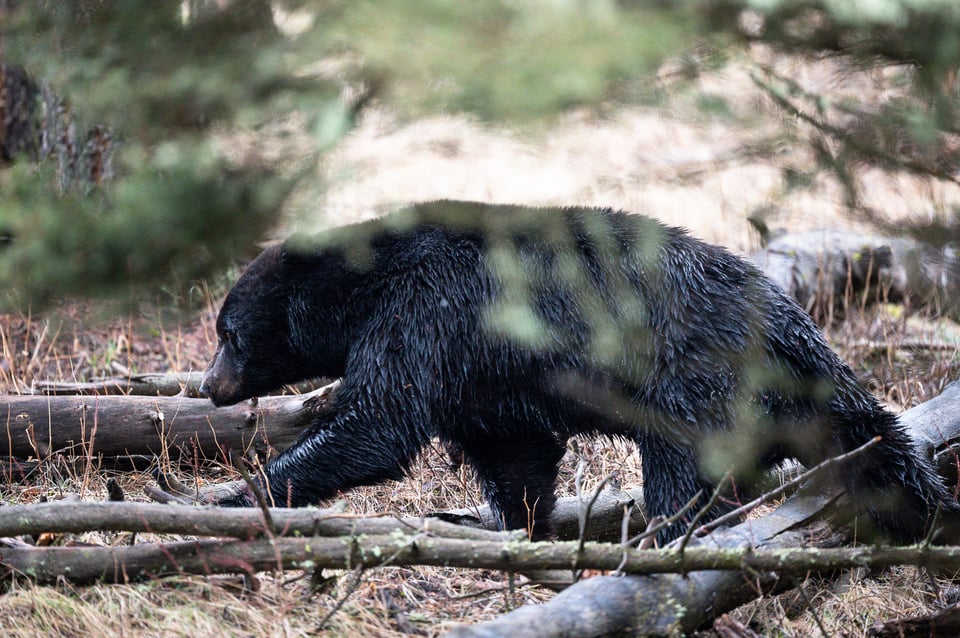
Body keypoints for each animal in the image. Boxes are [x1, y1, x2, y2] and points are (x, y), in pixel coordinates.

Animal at [199, 202, 956, 544]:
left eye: (228, 334)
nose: (208, 386)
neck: (370, 279)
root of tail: (792, 323)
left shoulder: (426, 312)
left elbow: (379, 422)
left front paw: (233, 498)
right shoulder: (483, 375)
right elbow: (514, 452)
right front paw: (521, 525)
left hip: (693, 380)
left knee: (685, 474)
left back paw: (670, 537)